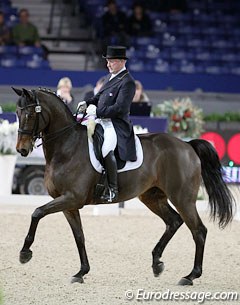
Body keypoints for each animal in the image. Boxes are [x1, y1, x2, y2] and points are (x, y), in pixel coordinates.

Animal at [12, 87, 234, 284]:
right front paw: (81, 272)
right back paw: (157, 263)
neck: (66, 146)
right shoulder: (69, 204)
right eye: (17, 113)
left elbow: (37, 212)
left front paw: (25, 253)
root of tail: (187, 145)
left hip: (183, 198)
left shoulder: (71, 198)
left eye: (30, 114)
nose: (22, 150)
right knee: (174, 221)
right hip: (152, 197)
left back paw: (190, 276)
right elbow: (79, 236)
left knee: (198, 230)